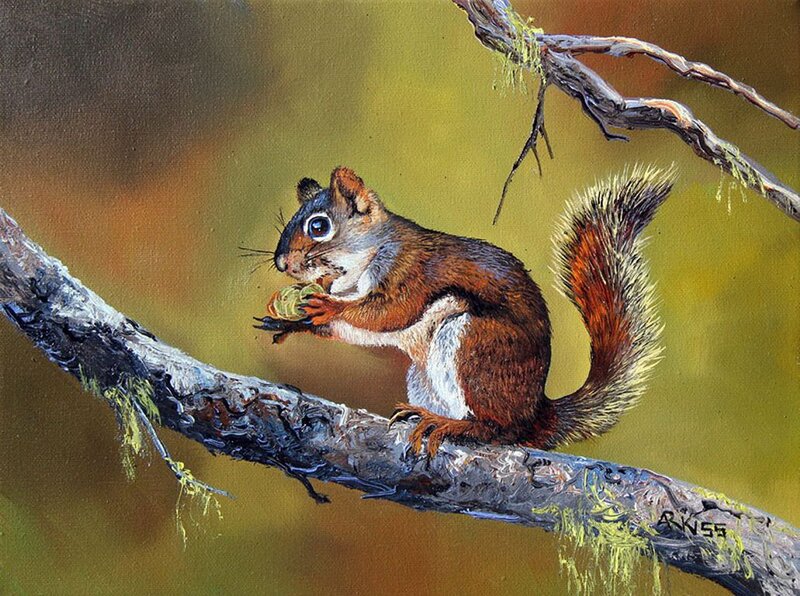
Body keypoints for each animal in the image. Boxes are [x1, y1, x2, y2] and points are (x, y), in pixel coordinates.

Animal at [255, 165, 672, 456]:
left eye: (319, 226)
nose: (282, 263)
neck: (355, 270)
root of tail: (535, 413)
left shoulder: (411, 272)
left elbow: (389, 312)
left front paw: (325, 305)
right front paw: (293, 321)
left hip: (475, 343)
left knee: (498, 431)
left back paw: (451, 426)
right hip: (424, 375)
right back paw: (424, 415)